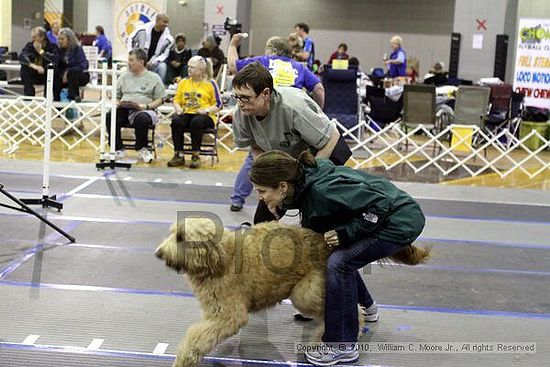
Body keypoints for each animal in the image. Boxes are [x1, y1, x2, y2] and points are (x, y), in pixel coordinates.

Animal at [154, 218, 358, 367]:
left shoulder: (229, 316)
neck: (221, 258)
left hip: (305, 293)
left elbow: (195, 338)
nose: (158, 253)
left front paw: (183, 359)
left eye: (181, 236)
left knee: (351, 310)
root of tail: (323, 241)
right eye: (172, 233)